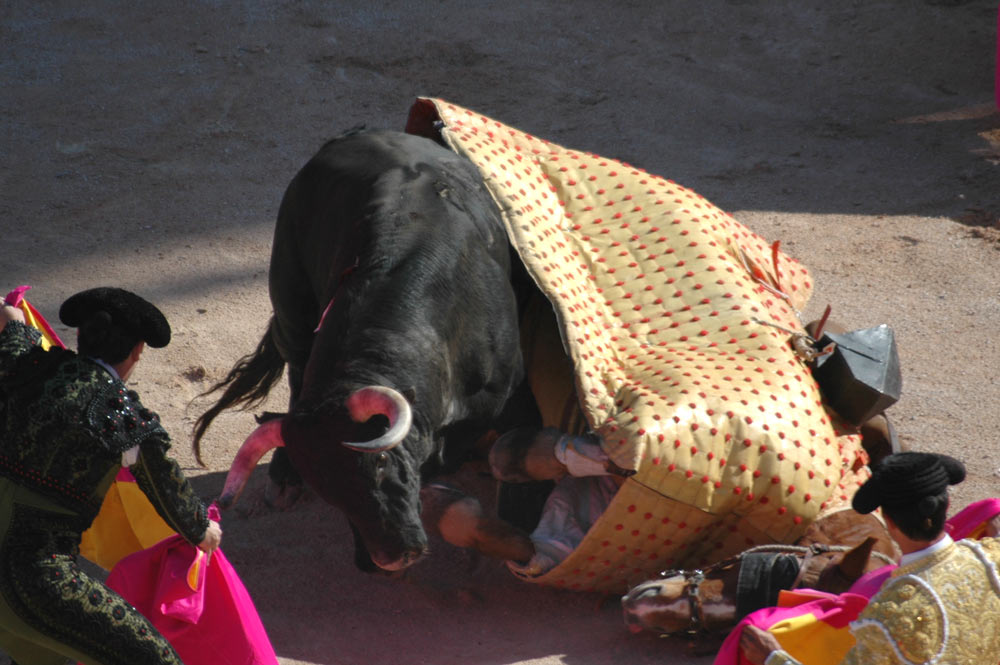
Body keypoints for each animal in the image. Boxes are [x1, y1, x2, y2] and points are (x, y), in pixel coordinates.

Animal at [192, 128, 544, 572]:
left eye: (379, 462)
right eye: (328, 491)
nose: (388, 559)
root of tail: (358, 133)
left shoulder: (508, 400)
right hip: (291, 307)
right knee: (295, 376)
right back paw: (283, 481)